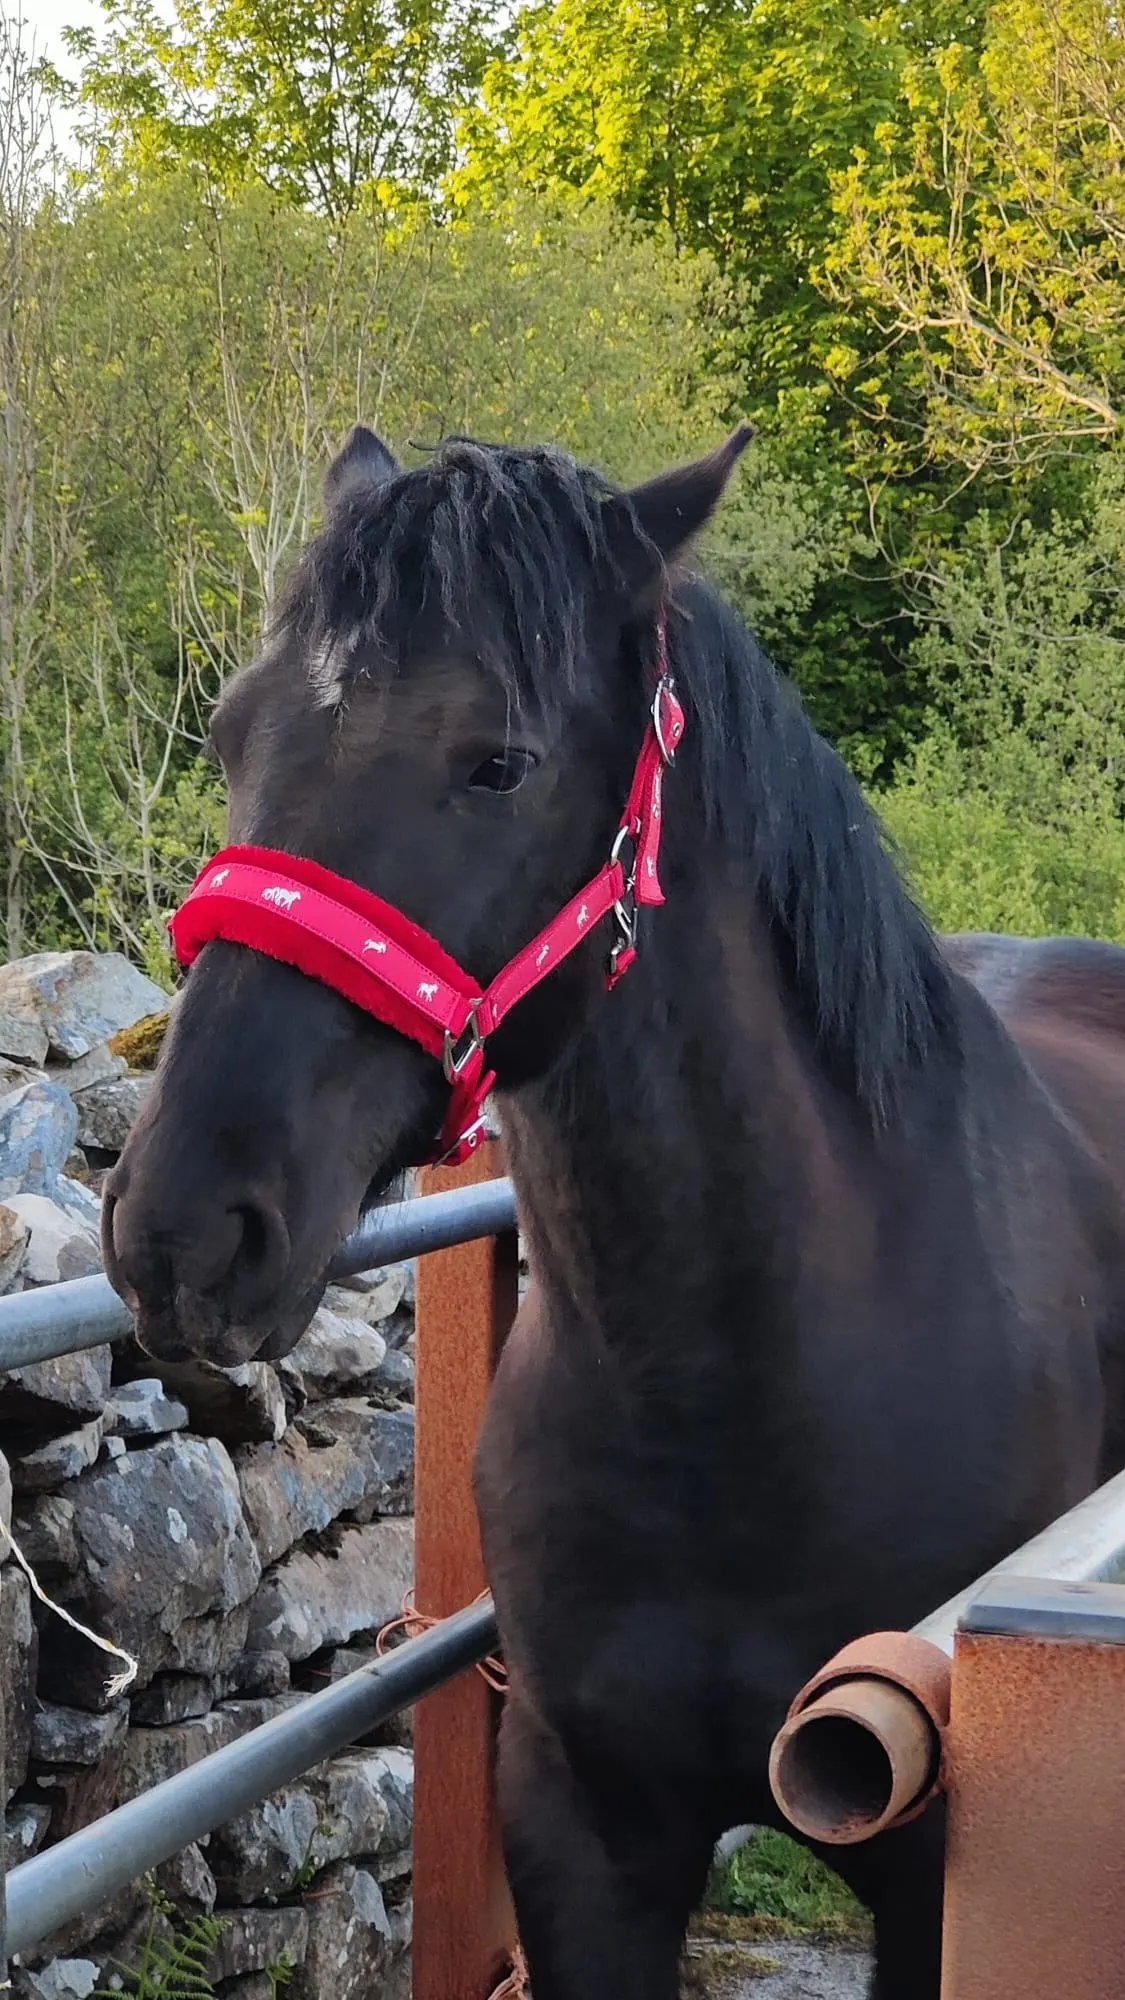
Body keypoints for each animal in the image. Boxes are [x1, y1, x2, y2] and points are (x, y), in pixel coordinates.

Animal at [104, 424, 1125, 1999]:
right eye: (229, 736)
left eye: (500, 763)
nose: (184, 1227)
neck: (742, 1398)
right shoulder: (583, 1834)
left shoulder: (924, 1888)